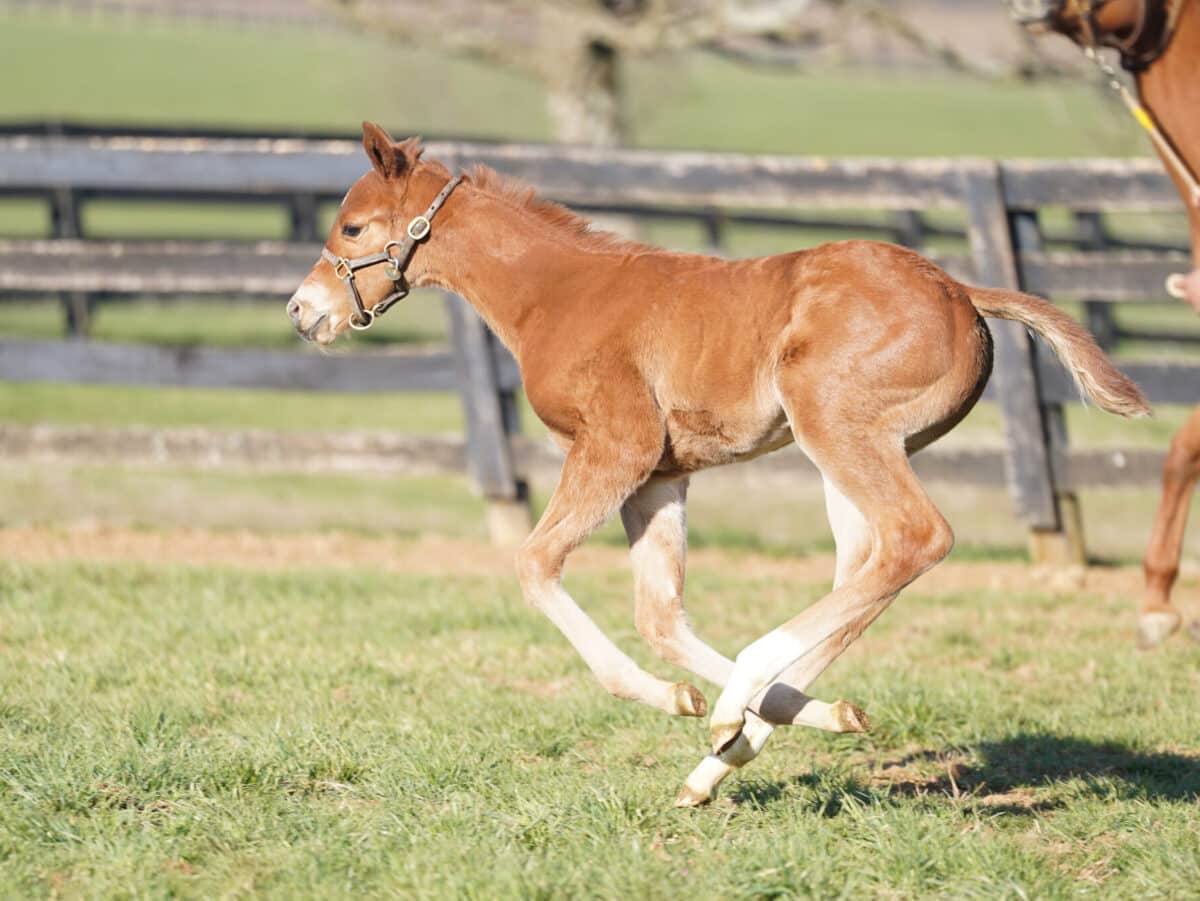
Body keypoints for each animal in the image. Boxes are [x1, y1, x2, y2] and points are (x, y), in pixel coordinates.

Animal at [285, 123, 1147, 806]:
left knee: (915, 538)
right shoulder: (661, 476)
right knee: (864, 569)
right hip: (858, 447)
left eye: (354, 227)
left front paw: (682, 699)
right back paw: (733, 747)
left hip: (833, 423)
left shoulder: (616, 447)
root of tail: (958, 287)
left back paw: (742, 706)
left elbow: (536, 564)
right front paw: (765, 711)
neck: (555, 295)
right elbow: (659, 614)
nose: (301, 311)